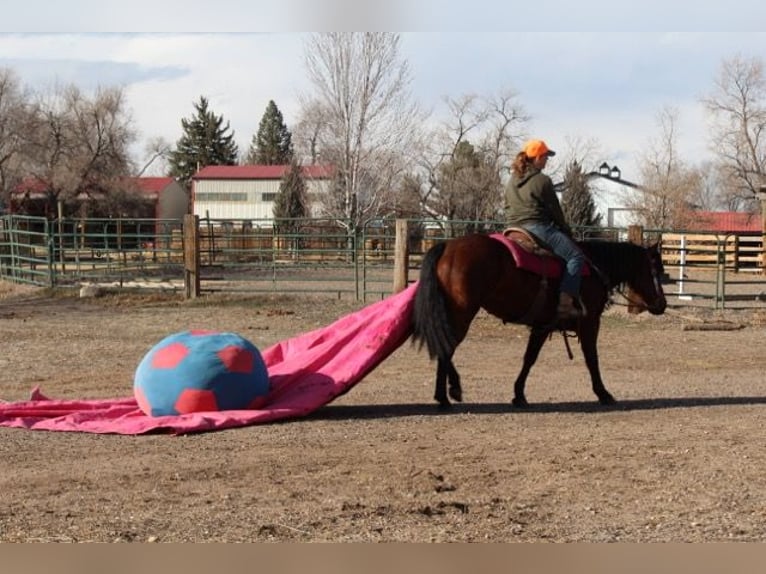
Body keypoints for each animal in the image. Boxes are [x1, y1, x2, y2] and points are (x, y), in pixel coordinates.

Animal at [412, 232, 668, 412]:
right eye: (656, 269)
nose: (662, 304)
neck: (595, 268)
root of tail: (447, 246)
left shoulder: (543, 326)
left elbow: (529, 358)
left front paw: (519, 394)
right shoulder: (590, 323)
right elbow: (592, 359)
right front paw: (603, 393)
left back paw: (444, 395)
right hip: (462, 313)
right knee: (447, 347)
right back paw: (450, 392)